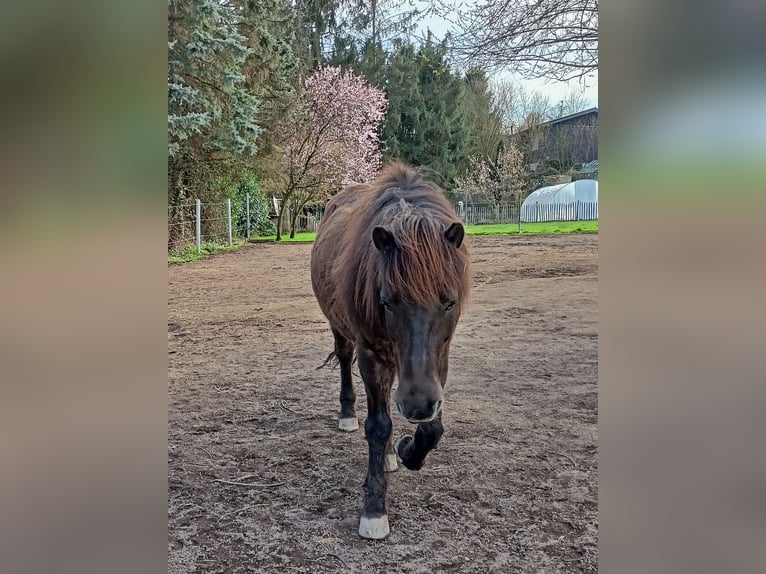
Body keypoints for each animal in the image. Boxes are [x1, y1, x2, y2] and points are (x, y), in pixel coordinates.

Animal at [308, 162, 472, 540]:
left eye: (449, 302)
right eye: (386, 301)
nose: (416, 405)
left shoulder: (438, 361)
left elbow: (431, 430)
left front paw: (405, 449)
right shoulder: (371, 353)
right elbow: (378, 425)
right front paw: (373, 510)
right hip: (344, 332)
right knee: (345, 361)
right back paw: (349, 415)